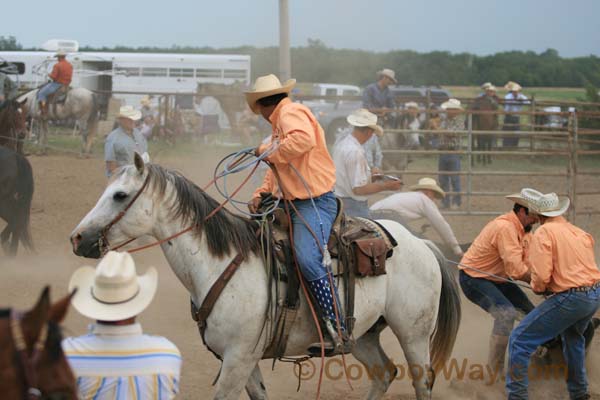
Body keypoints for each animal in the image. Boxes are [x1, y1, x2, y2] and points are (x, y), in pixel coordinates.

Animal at [71, 154, 464, 400]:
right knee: (384, 373)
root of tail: (420, 243)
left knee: (421, 381)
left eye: (120, 195)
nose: (78, 238)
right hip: (364, 334)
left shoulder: (238, 359)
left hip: (413, 333)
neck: (220, 264)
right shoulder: (243, 359)